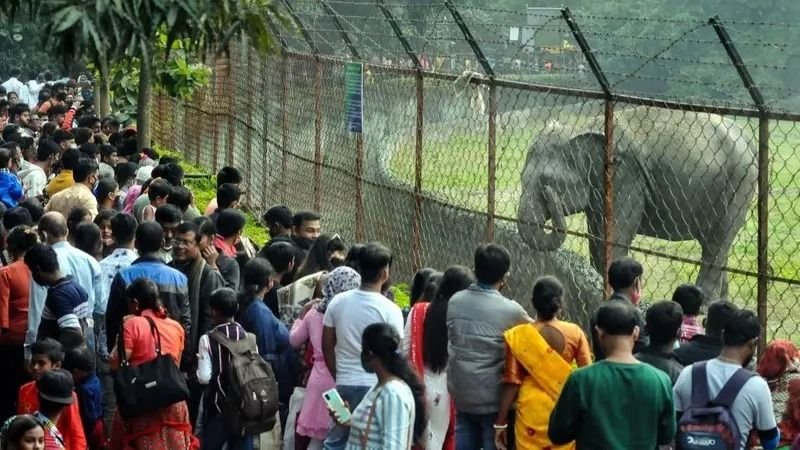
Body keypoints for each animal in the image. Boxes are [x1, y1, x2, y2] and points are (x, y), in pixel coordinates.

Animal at [520, 107, 756, 300]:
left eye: (547, 183)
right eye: (522, 178)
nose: (551, 196)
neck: (584, 126)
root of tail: (747, 139)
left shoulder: (625, 176)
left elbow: (617, 236)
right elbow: (597, 237)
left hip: (739, 183)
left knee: (717, 241)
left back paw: (704, 302)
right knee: (714, 244)